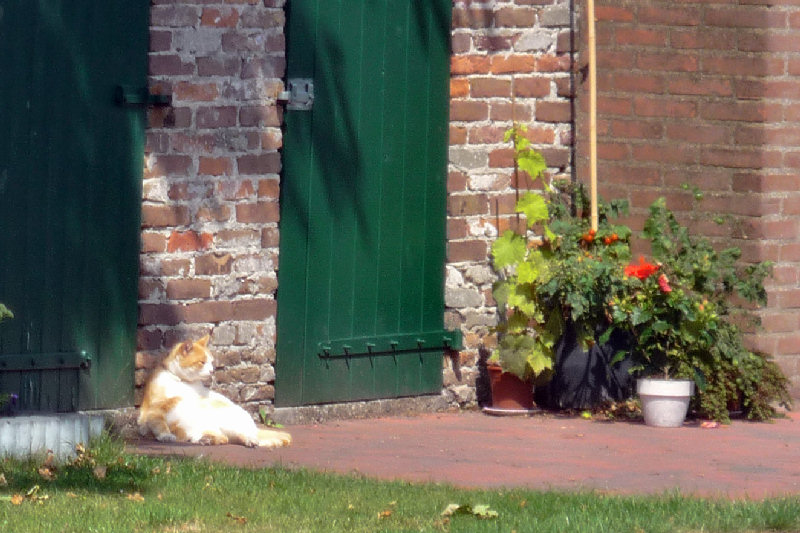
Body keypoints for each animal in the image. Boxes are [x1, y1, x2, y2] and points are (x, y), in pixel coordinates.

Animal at [137, 336, 290, 444]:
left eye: (211, 362)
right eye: (202, 362)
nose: (212, 370)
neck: (181, 381)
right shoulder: (154, 409)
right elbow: (159, 424)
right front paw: (166, 435)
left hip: (227, 421)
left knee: (238, 436)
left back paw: (249, 440)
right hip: (204, 428)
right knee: (221, 438)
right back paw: (206, 440)